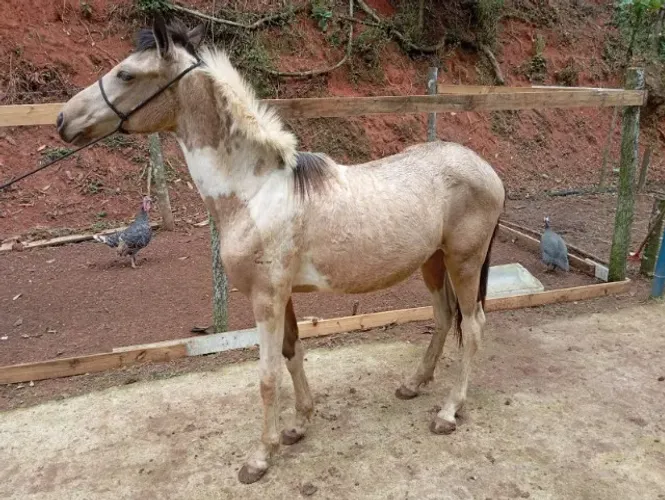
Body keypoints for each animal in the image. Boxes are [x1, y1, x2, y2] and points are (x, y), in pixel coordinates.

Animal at [56, 17, 505, 484]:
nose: (62, 119)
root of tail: (487, 169)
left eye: (126, 74)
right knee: (444, 317)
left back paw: (449, 412)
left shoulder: (266, 298)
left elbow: (268, 376)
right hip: (433, 262)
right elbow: (292, 354)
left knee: (473, 326)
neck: (255, 193)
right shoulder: (281, 296)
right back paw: (413, 385)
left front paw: (259, 457)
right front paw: (298, 425)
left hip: (464, 263)